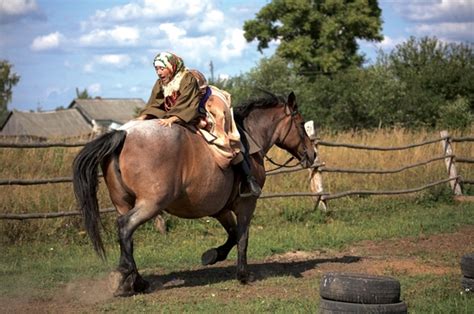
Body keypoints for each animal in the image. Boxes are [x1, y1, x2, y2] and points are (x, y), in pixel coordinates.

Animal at [72, 91, 314, 296]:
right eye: (301, 124)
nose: (312, 154)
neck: (249, 139)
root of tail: (123, 133)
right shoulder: (247, 205)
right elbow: (243, 237)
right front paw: (243, 275)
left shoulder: (220, 209)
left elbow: (232, 234)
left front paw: (212, 255)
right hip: (150, 204)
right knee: (125, 227)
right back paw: (132, 280)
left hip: (123, 203)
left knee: (127, 237)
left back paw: (133, 280)